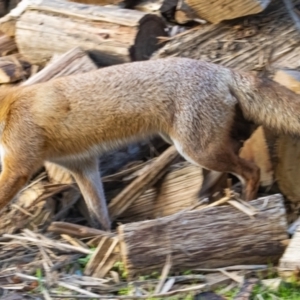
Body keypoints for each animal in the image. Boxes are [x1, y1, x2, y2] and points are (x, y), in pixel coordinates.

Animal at [0, 56, 298, 230]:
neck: (7, 109)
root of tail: (220, 69)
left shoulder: (18, 167)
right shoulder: (81, 164)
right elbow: (99, 214)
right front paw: (104, 241)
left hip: (196, 149)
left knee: (251, 170)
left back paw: (248, 206)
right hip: (195, 145)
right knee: (234, 156)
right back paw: (212, 197)